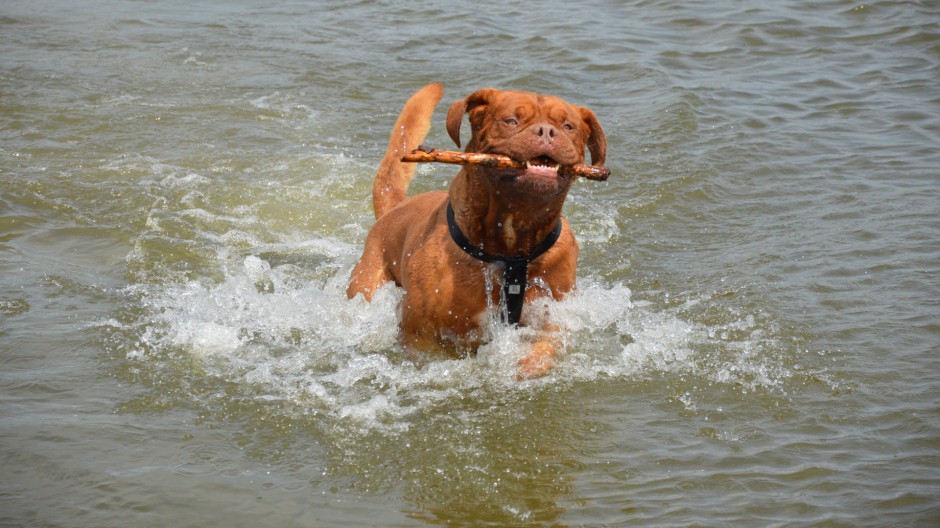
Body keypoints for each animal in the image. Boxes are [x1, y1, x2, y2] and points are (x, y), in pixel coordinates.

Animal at [348, 82, 604, 378]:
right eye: (511, 121)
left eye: (567, 126)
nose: (546, 131)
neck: (510, 246)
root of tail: (395, 208)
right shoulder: (418, 332)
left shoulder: (551, 316)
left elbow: (542, 350)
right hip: (367, 285)